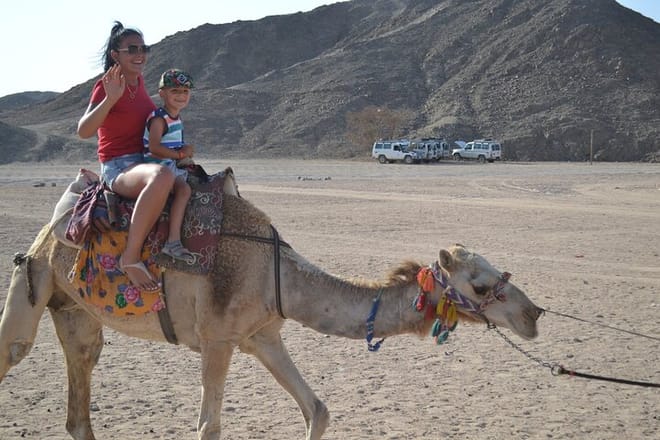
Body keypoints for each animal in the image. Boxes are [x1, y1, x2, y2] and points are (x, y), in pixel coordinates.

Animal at [0, 191, 543, 440]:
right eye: (480, 284)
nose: (533, 314)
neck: (275, 274)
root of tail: (50, 230)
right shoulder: (217, 339)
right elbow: (209, 427)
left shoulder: (263, 336)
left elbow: (317, 409)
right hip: (35, 278)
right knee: (14, 349)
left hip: (74, 309)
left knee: (82, 380)